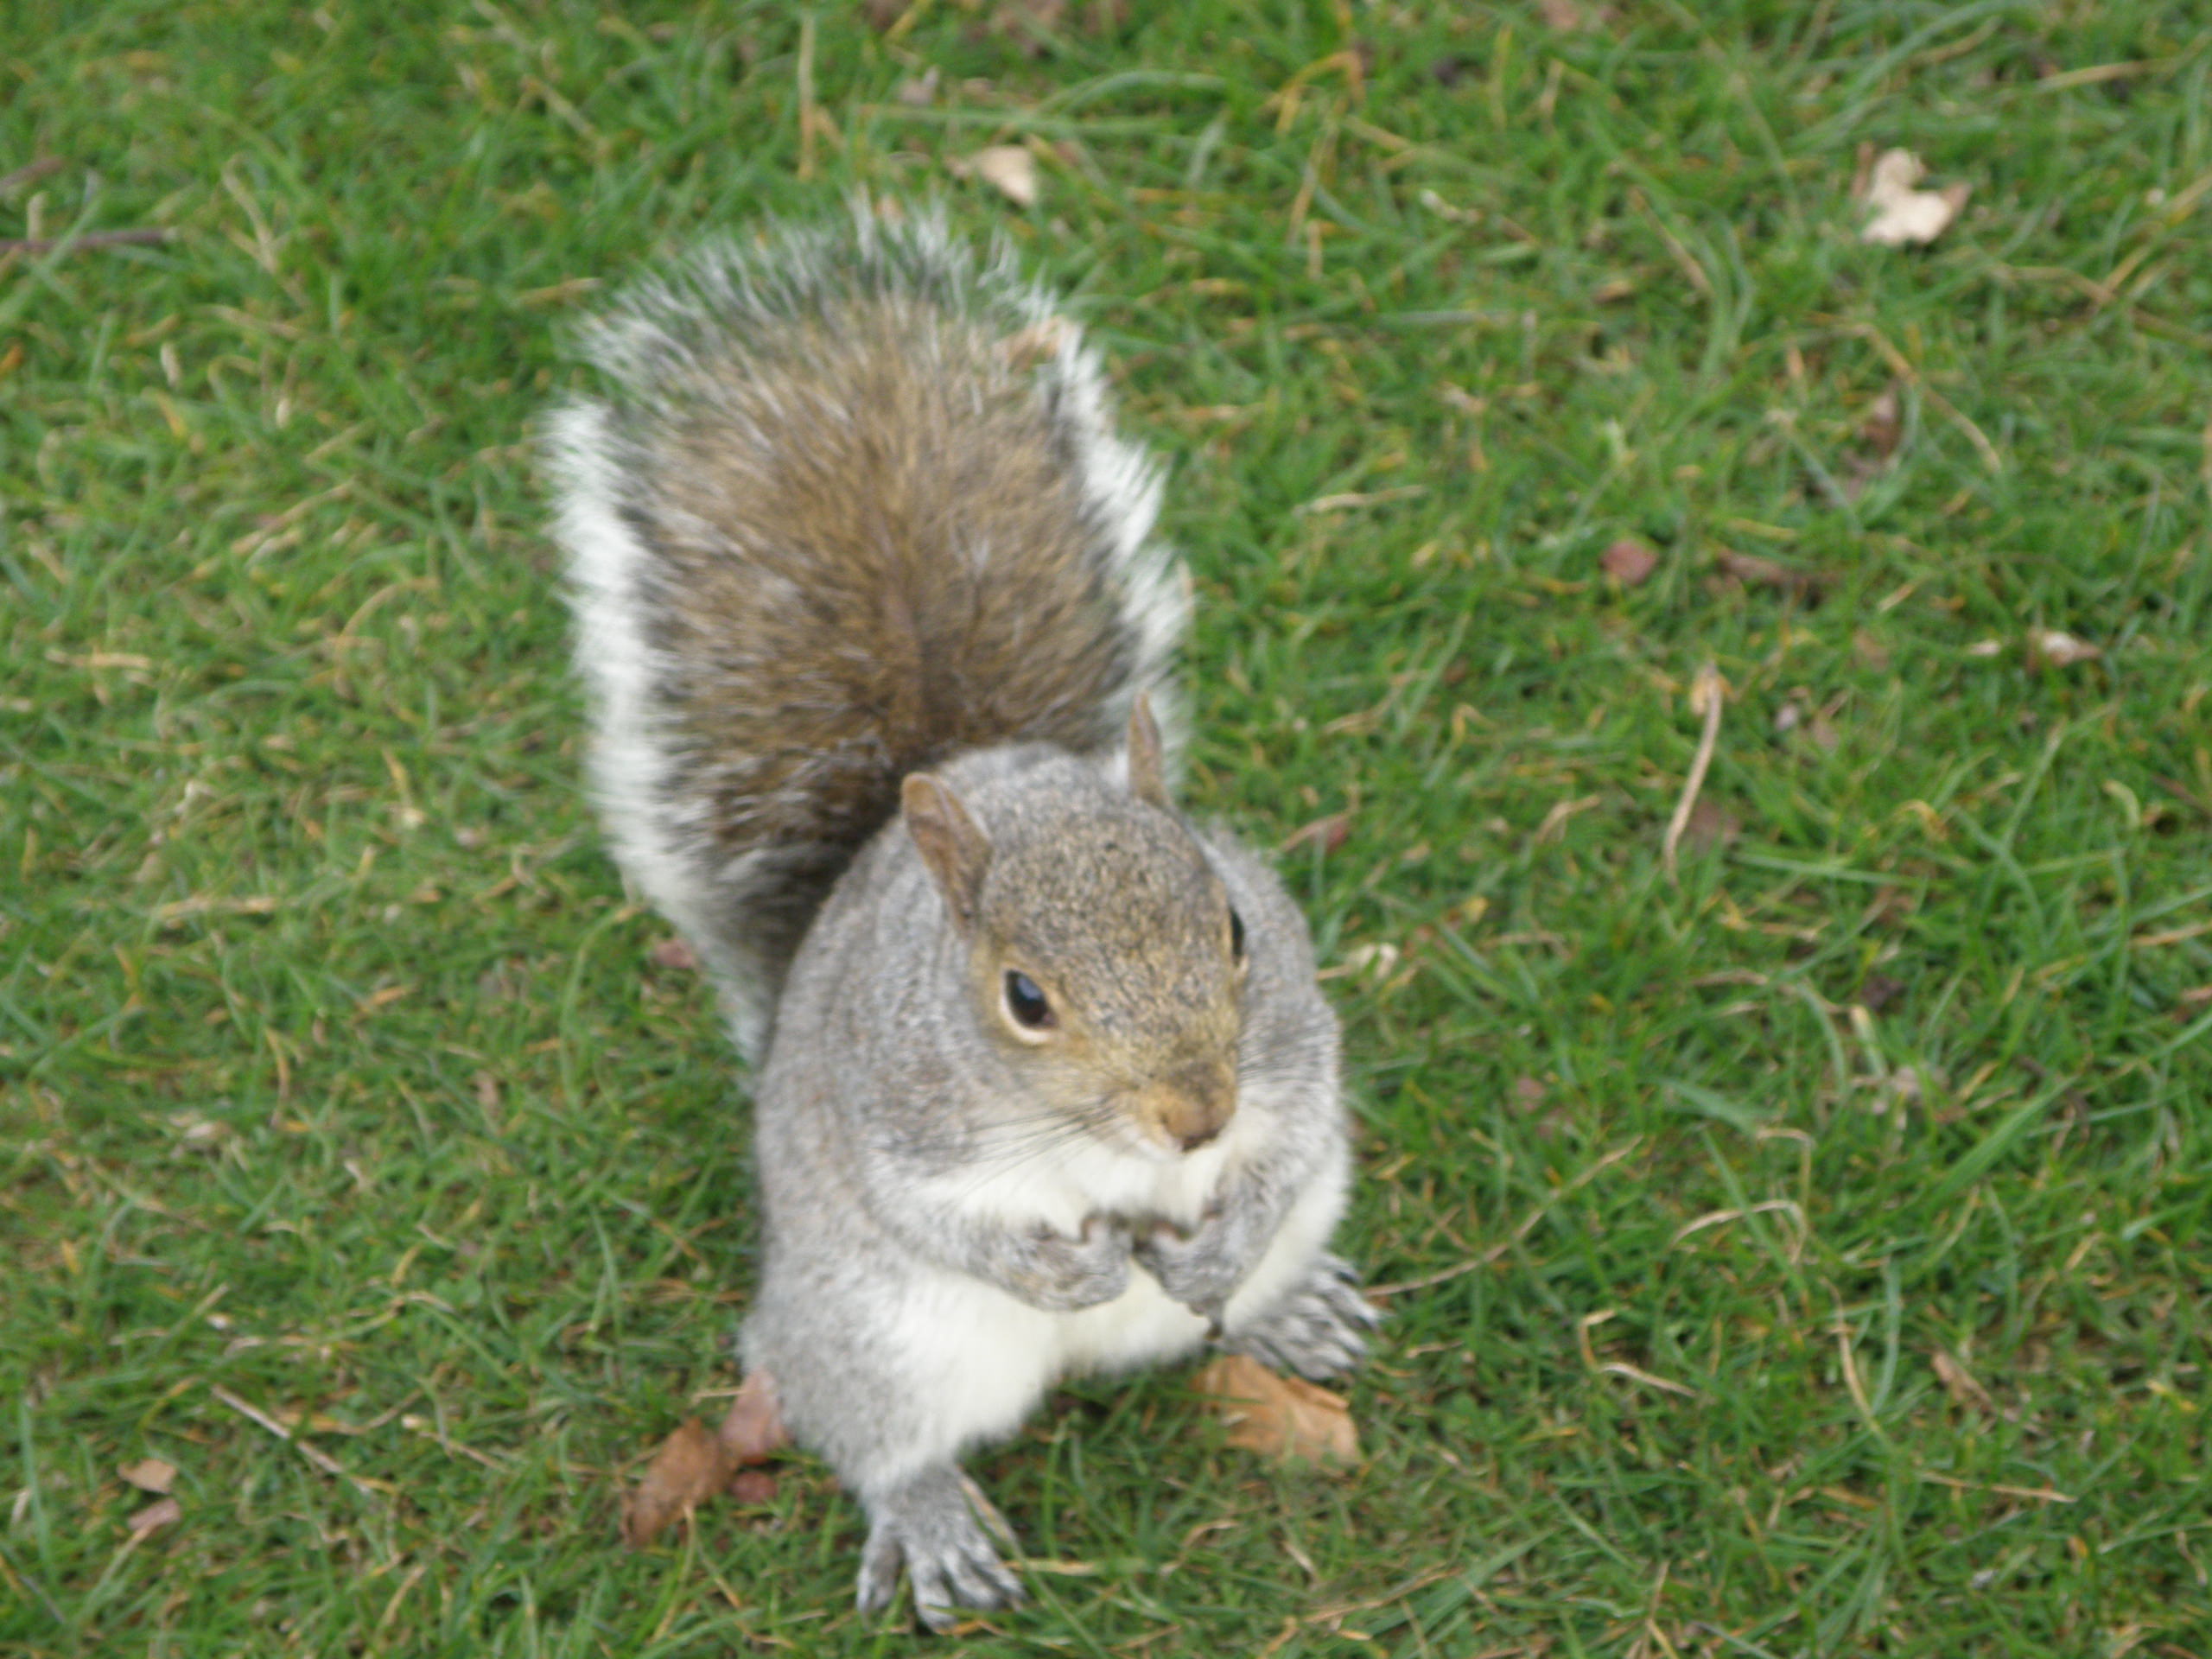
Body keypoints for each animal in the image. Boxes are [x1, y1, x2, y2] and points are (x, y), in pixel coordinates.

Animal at [543, 207, 1371, 1637]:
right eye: (1023, 998)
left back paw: (1285, 1311)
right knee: (869, 1429)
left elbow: (1293, 1133)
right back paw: (930, 1518)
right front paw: (1060, 1273)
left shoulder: (1293, 1055)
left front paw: (1228, 1226)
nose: (1196, 1119)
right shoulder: (902, 1124)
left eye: (1234, 928)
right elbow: (938, 1218)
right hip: (876, 1340)